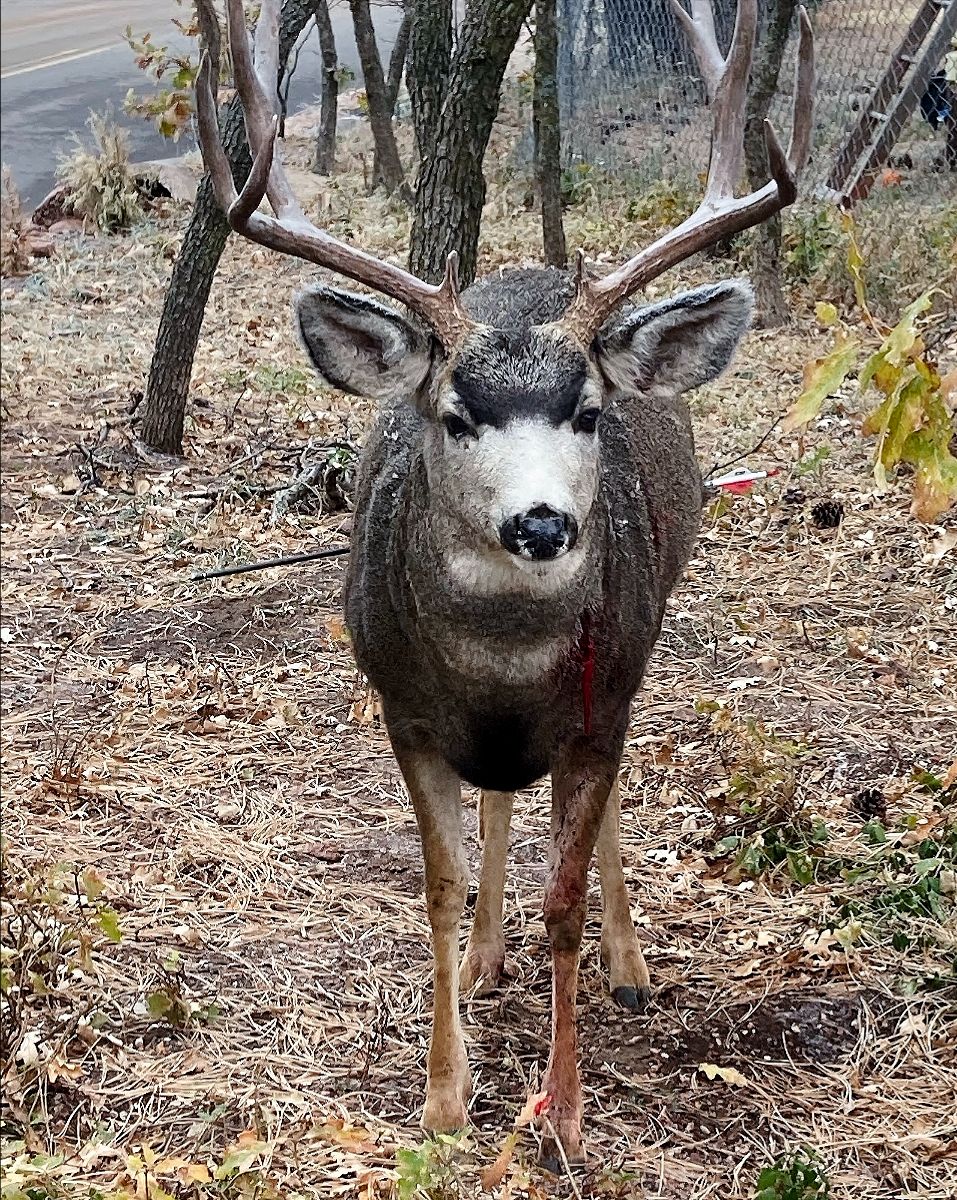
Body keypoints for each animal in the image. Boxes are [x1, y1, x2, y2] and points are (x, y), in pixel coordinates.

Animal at [195, 0, 814, 1163]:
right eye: (455, 414)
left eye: (588, 411)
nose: (541, 521)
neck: (501, 667)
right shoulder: (401, 708)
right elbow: (437, 886)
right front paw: (444, 1098)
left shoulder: (601, 701)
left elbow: (564, 896)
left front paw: (562, 1111)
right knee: (493, 807)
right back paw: (486, 961)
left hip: (635, 656)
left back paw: (627, 966)